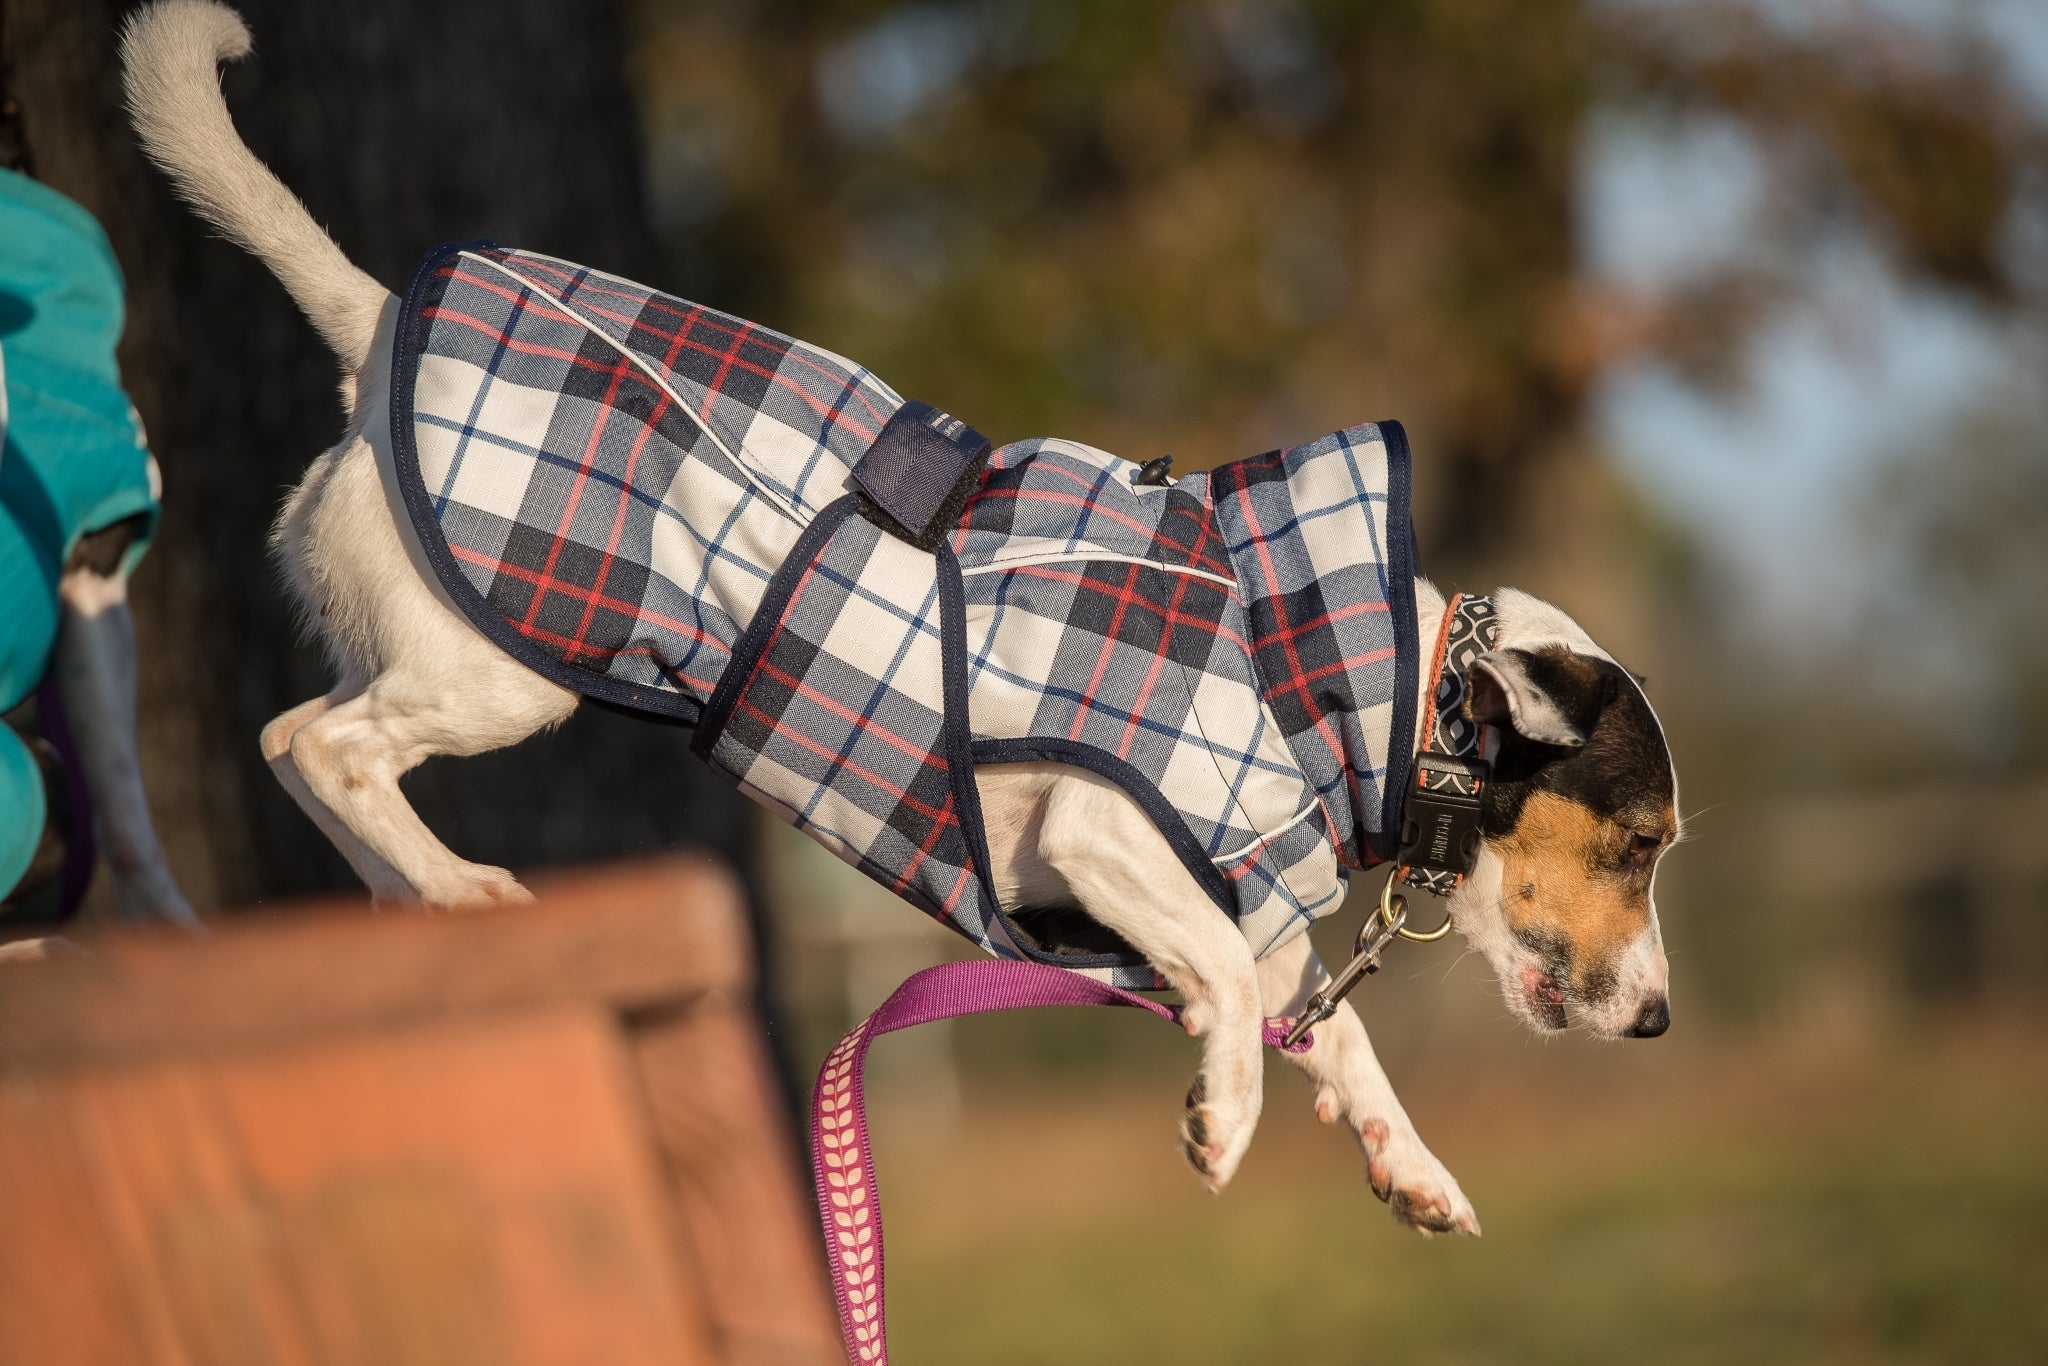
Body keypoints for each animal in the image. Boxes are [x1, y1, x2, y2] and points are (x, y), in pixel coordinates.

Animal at [116, 2, 1679, 1236]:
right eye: (1642, 841)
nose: (1662, 1019)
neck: (1353, 678)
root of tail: (375, 321)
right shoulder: (1107, 831)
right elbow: (1237, 982)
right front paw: (1223, 1113)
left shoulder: (1226, 881)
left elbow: (1326, 1025)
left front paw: (1405, 1162)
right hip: (499, 675)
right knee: (318, 746)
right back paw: (451, 887)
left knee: (298, 744)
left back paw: (405, 898)